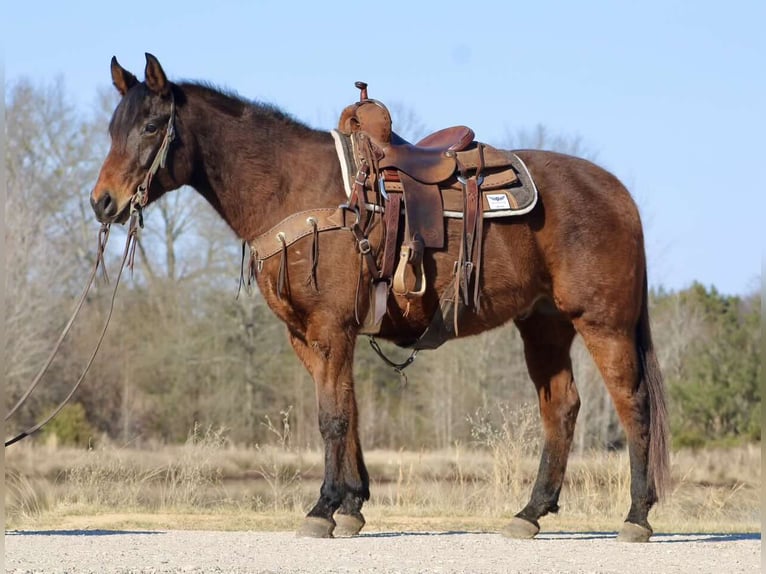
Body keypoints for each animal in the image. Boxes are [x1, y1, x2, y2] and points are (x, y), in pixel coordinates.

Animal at [91, 53, 669, 543]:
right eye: (113, 128)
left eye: (150, 127)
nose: (102, 203)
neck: (295, 190)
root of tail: (616, 192)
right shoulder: (308, 337)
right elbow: (347, 410)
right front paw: (351, 507)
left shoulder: (331, 328)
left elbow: (332, 416)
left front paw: (323, 508)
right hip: (544, 326)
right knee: (562, 408)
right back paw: (530, 514)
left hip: (603, 324)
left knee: (632, 404)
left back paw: (636, 516)